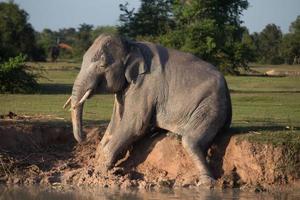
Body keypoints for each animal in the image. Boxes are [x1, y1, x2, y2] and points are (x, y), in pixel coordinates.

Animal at [63, 33, 232, 185]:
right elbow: (116, 120)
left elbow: (135, 124)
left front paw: (100, 171)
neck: (132, 44)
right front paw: (96, 162)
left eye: (102, 65)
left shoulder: (145, 84)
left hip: (210, 105)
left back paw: (206, 182)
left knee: (191, 142)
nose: (85, 137)